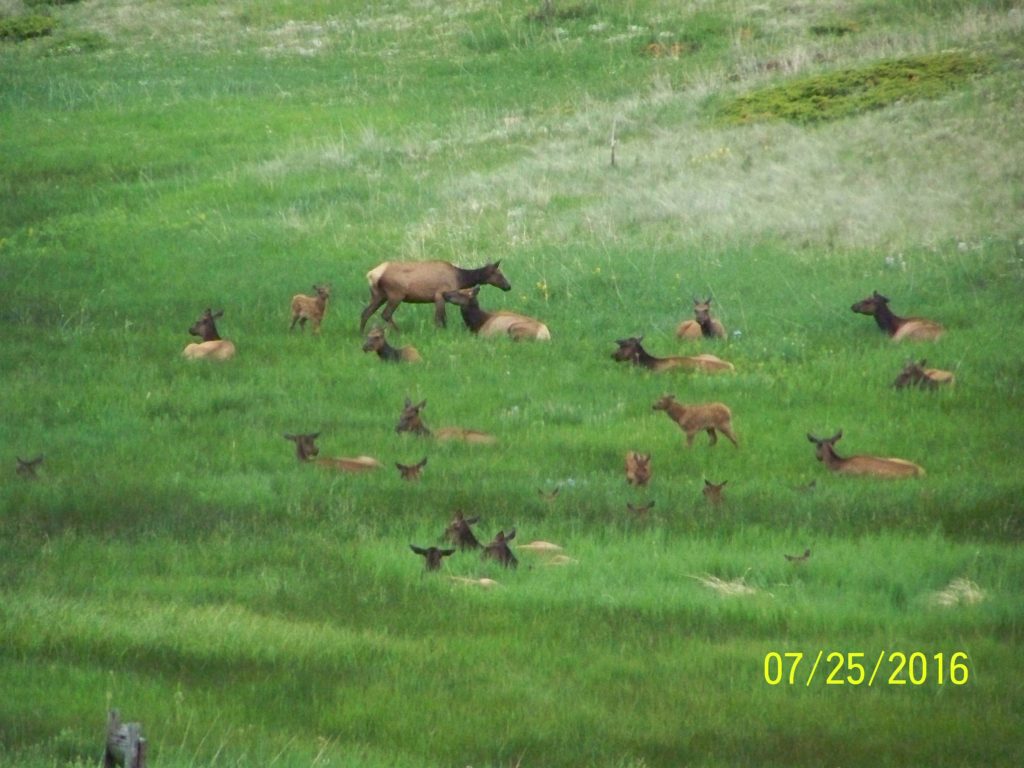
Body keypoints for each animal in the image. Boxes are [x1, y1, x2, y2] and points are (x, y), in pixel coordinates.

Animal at [359, 259, 511, 332]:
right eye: (499, 274)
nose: (508, 286)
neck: (459, 278)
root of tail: (371, 275)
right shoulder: (439, 295)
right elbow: (440, 318)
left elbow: (442, 318)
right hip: (396, 294)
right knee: (385, 314)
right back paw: (398, 331)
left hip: (379, 295)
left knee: (365, 312)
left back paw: (361, 333)